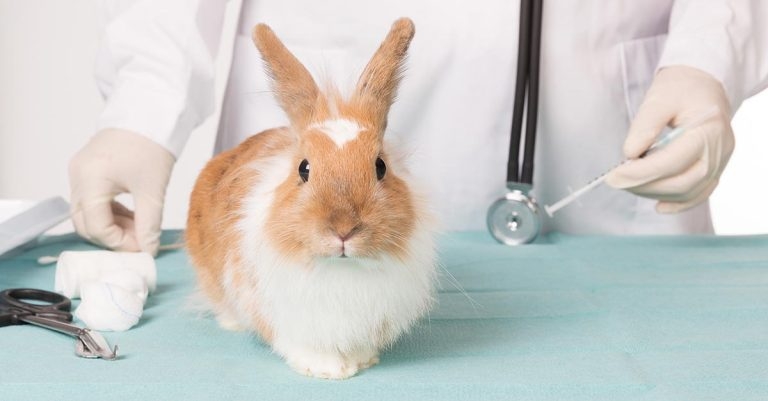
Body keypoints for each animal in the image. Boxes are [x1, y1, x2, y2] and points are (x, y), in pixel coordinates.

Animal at [185, 18, 437, 380]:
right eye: (304, 168)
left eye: (380, 166)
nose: (344, 229)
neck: (340, 269)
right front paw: (327, 369)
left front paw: (360, 361)